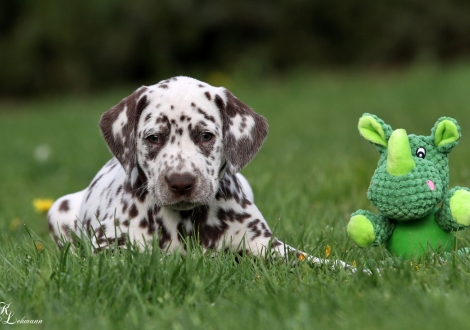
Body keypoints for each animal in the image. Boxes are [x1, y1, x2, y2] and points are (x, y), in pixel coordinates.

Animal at [48, 76, 346, 266]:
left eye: (205, 135)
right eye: (153, 138)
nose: (181, 182)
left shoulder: (265, 244)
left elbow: (317, 261)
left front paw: (353, 271)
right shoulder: (111, 249)